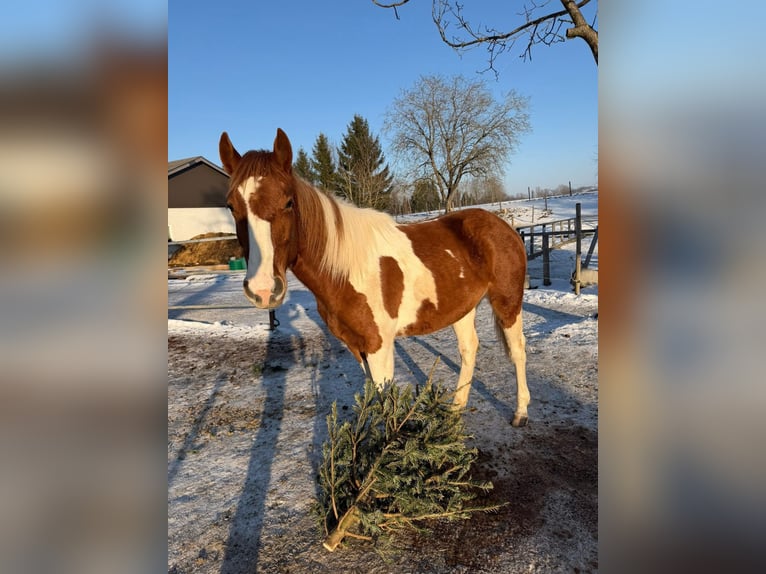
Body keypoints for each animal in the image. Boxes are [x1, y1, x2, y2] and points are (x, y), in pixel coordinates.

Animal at [219, 128, 530, 426]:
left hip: (507, 302)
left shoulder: (379, 346)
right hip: (462, 308)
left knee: (517, 350)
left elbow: (385, 401)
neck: (346, 271)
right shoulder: (357, 346)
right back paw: (455, 409)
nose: (262, 289)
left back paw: (521, 412)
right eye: (232, 206)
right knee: (469, 349)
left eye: (288, 202)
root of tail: (504, 226)